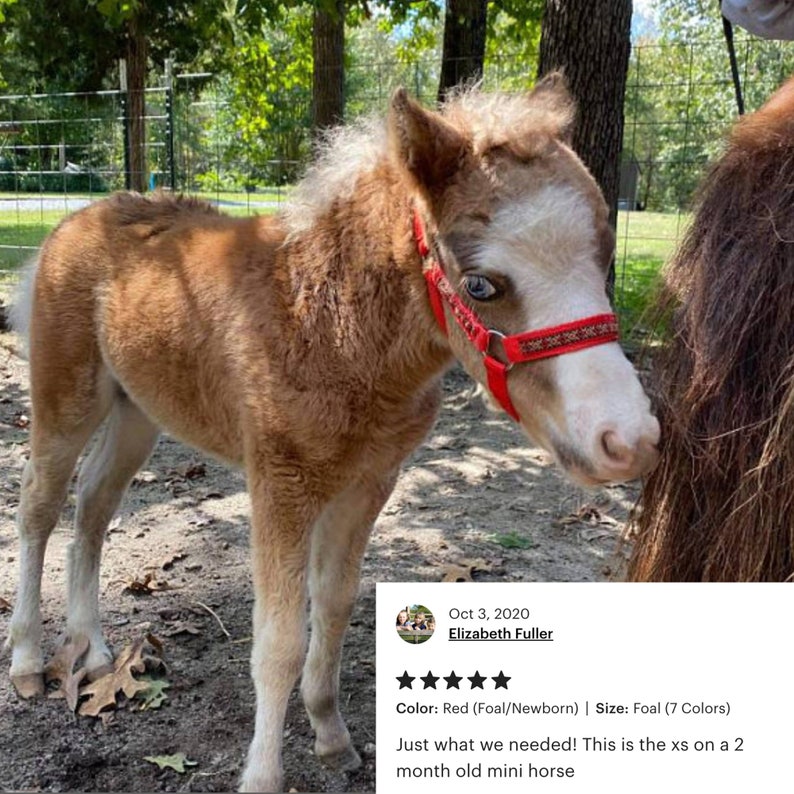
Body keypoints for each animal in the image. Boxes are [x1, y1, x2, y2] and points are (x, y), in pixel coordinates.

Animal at [5, 74, 659, 791]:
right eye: (481, 285)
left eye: (605, 256)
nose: (629, 440)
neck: (330, 324)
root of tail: (71, 223)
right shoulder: (280, 485)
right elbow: (280, 640)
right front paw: (263, 776)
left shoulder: (369, 482)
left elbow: (337, 605)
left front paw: (331, 734)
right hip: (67, 397)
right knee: (39, 505)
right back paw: (29, 661)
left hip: (137, 413)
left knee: (94, 508)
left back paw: (94, 650)